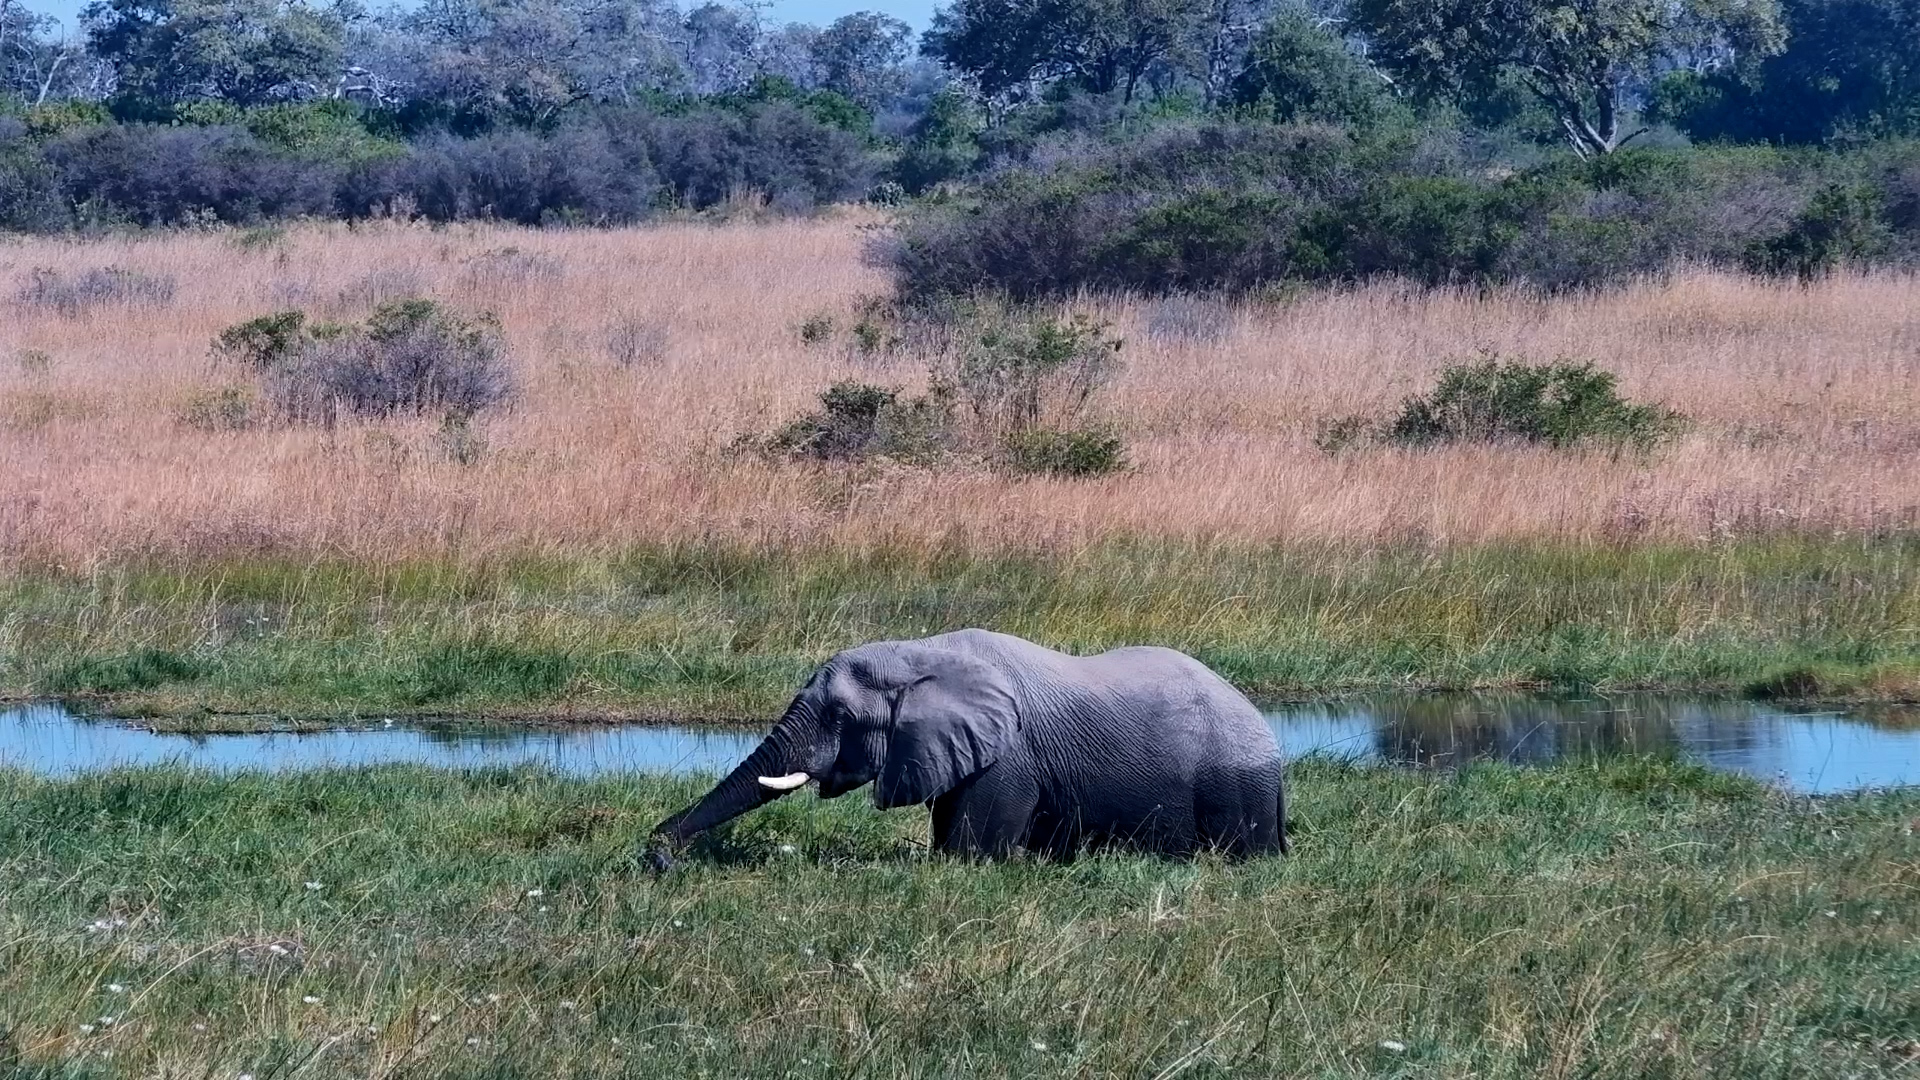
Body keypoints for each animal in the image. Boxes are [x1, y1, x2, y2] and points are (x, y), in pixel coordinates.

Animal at [645, 629, 1287, 865]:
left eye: (840, 716)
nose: (657, 854)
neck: (920, 652)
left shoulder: (1009, 759)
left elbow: (970, 851)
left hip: (1234, 785)